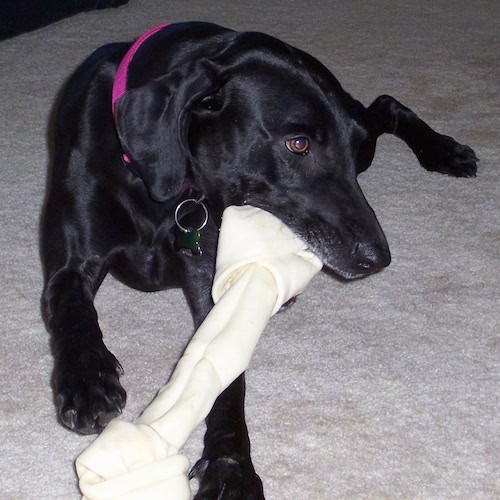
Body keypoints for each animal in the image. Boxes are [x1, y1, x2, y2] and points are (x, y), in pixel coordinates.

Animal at [41, 21, 478, 498]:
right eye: (298, 143)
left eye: (347, 148)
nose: (377, 257)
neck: (163, 186)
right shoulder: (71, 265)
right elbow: (72, 308)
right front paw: (87, 380)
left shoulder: (210, 281)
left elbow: (225, 377)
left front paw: (230, 465)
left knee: (382, 105)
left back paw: (446, 151)